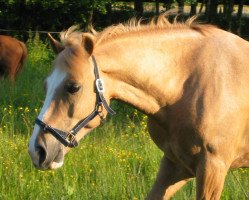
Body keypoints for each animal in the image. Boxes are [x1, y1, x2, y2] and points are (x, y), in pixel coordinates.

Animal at [27, 14, 249, 200]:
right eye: (46, 86)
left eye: (73, 87)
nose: (37, 151)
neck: (188, 85)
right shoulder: (176, 165)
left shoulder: (212, 169)